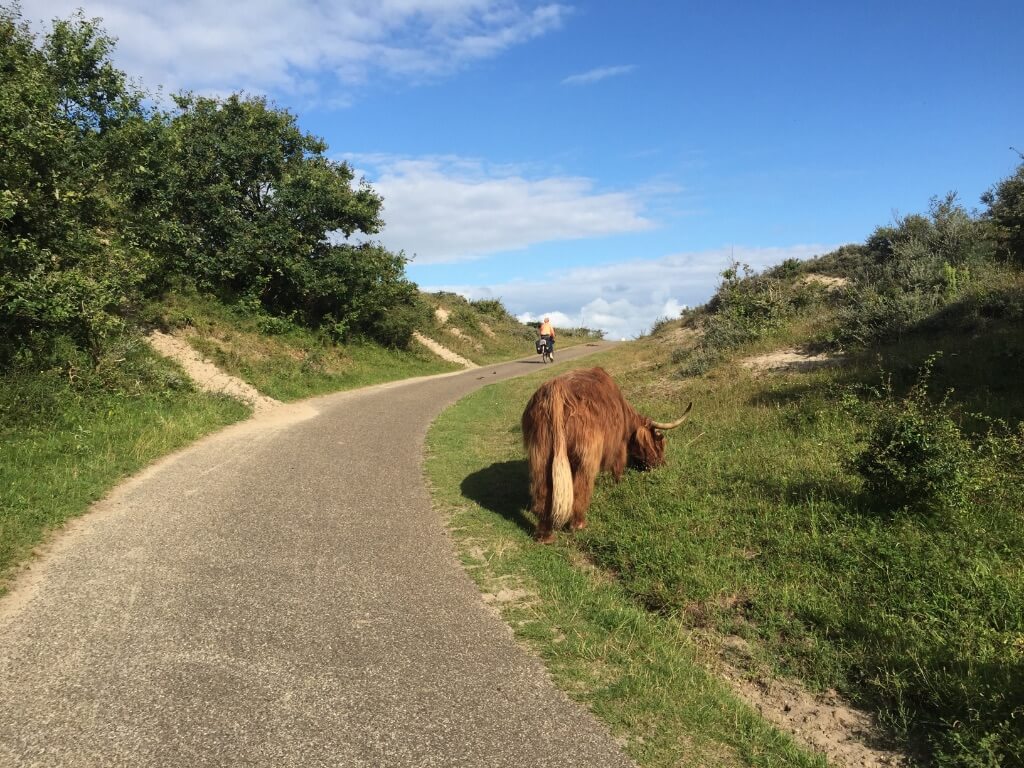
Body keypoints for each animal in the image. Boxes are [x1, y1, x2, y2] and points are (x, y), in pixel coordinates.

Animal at [520, 368, 696, 544]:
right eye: (660, 443)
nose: (662, 465)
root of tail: (556, 389)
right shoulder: (618, 444)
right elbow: (618, 465)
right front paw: (619, 483)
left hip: (540, 452)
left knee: (542, 489)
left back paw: (545, 536)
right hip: (586, 455)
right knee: (581, 486)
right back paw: (578, 524)